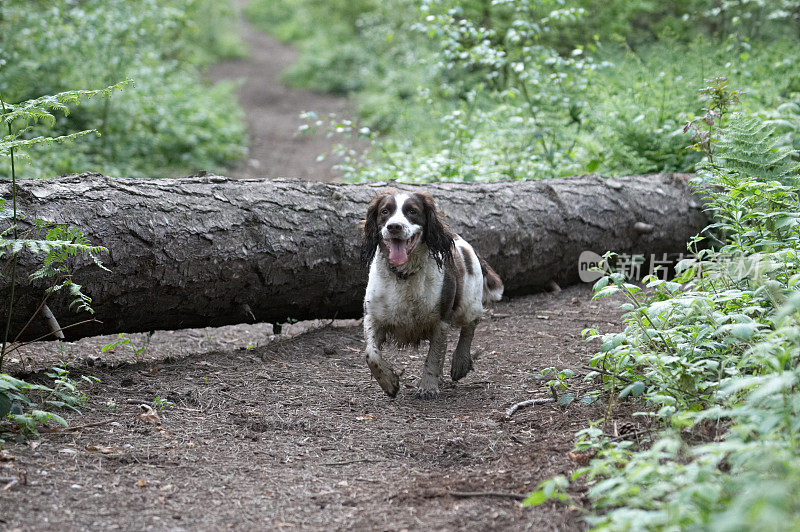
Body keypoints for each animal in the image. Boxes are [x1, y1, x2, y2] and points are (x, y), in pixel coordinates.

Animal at [360, 191, 500, 400]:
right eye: (385, 211)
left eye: (412, 211)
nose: (394, 226)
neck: (404, 274)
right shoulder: (373, 316)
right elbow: (371, 353)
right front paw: (389, 382)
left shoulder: (440, 320)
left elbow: (434, 355)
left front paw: (427, 386)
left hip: (468, 303)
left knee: (470, 325)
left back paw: (460, 362)